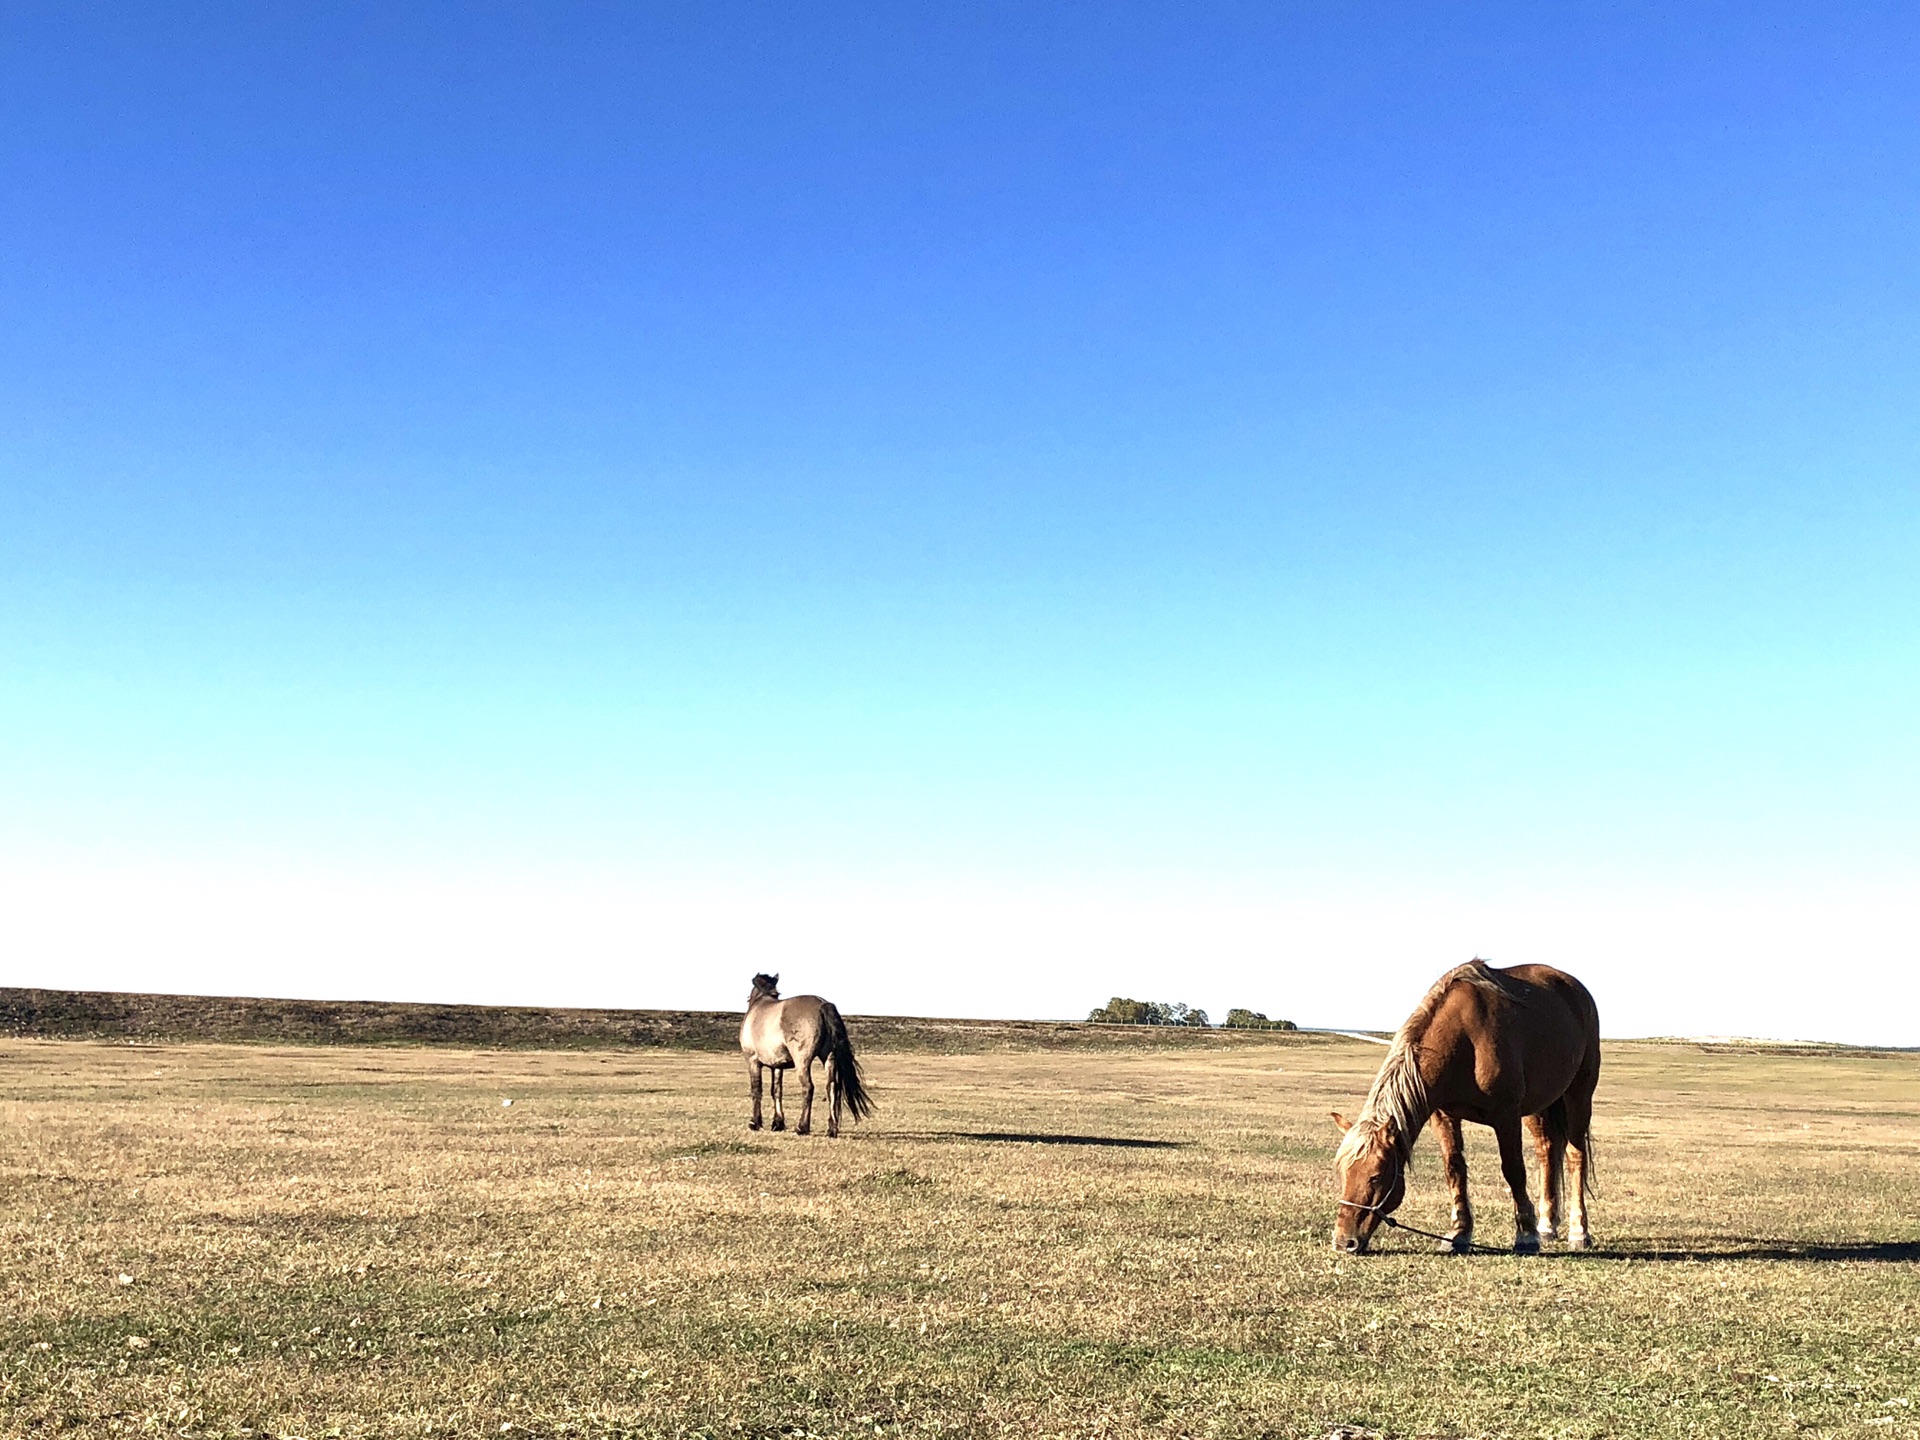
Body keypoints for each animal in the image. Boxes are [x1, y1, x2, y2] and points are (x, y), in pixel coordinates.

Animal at [737, 983, 875, 1136]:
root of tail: (822, 1004)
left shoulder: (753, 1061)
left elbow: (756, 1090)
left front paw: (755, 1122)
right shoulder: (777, 1065)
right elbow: (777, 1091)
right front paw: (777, 1123)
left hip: (802, 1062)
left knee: (808, 1087)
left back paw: (802, 1127)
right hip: (829, 1057)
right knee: (832, 1086)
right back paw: (831, 1129)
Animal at [1328, 963, 1597, 1259]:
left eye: (1376, 1176)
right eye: (1342, 1172)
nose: (1344, 1241)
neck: (1465, 1039)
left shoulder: (1506, 1116)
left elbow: (1514, 1170)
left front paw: (1525, 1236)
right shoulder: (1444, 1115)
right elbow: (1455, 1169)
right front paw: (1458, 1232)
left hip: (1578, 1095)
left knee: (1575, 1156)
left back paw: (1579, 1231)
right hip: (1537, 1106)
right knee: (1547, 1150)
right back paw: (1547, 1225)